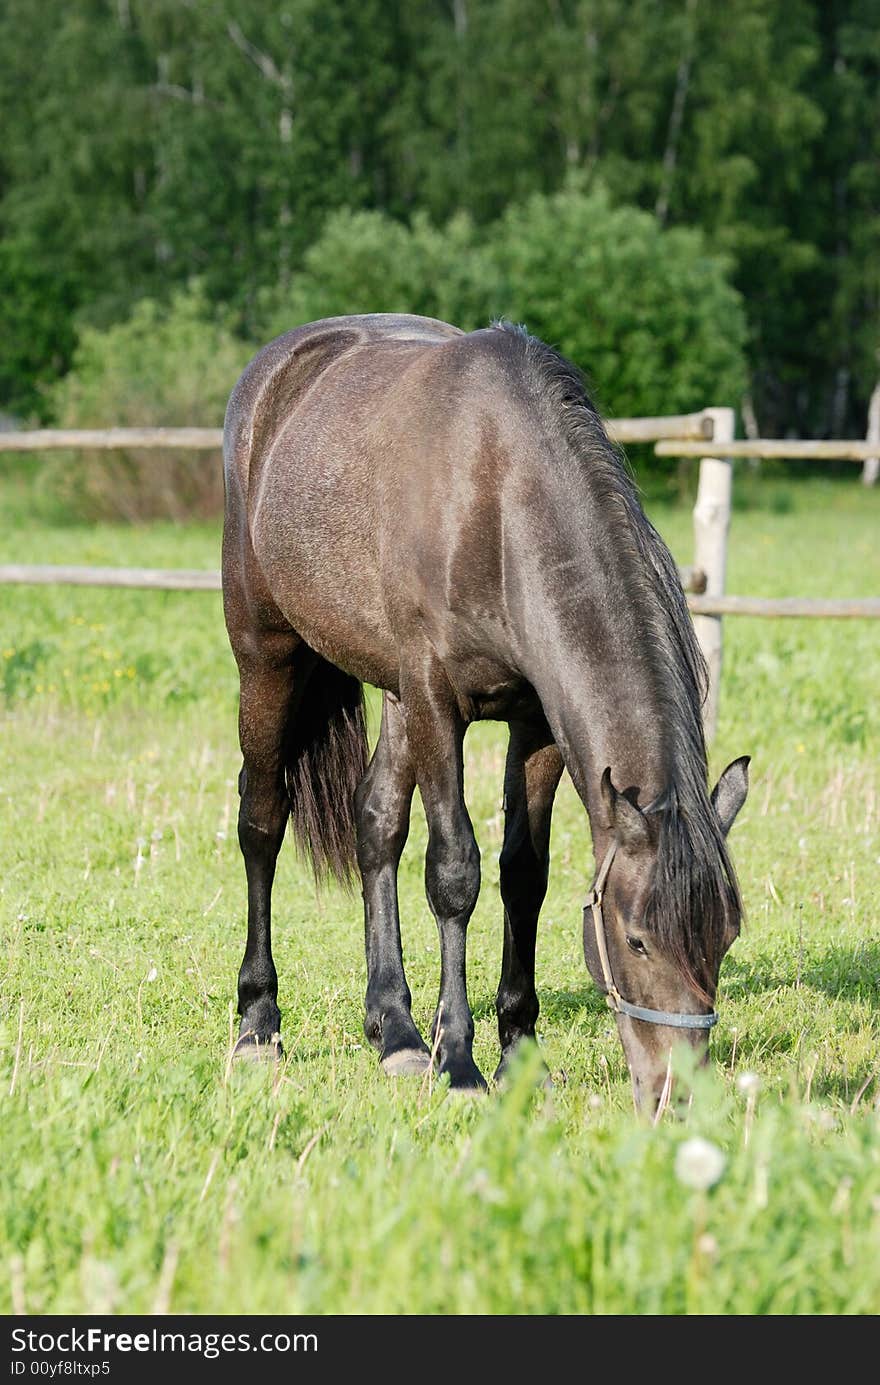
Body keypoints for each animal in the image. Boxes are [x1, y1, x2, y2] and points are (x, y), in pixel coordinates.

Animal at [221, 317, 748, 1113]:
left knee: (376, 822)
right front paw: (462, 1062)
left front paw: (518, 1053)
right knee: (262, 821)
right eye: (636, 940)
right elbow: (455, 872)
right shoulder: (438, 701)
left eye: (726, 937)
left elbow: (522, 876)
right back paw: (259, 1022)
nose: (674, 1097)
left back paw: (396, 1032)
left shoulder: (536, 726)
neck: (499, 499)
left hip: (394, 694)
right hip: (269, 657)